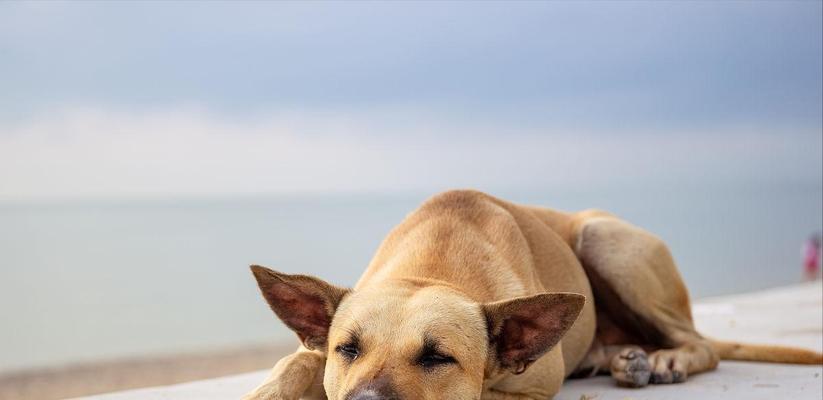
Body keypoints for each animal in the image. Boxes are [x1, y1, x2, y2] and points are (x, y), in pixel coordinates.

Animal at [245, 189, 823, 398]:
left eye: (437, 358)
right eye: (347, 349)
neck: (435, 268)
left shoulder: (527, 390)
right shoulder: (315, 348)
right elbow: (297, 363)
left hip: (604, 237)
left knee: (699, 342)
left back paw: (664, 360)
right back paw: (623, 358)